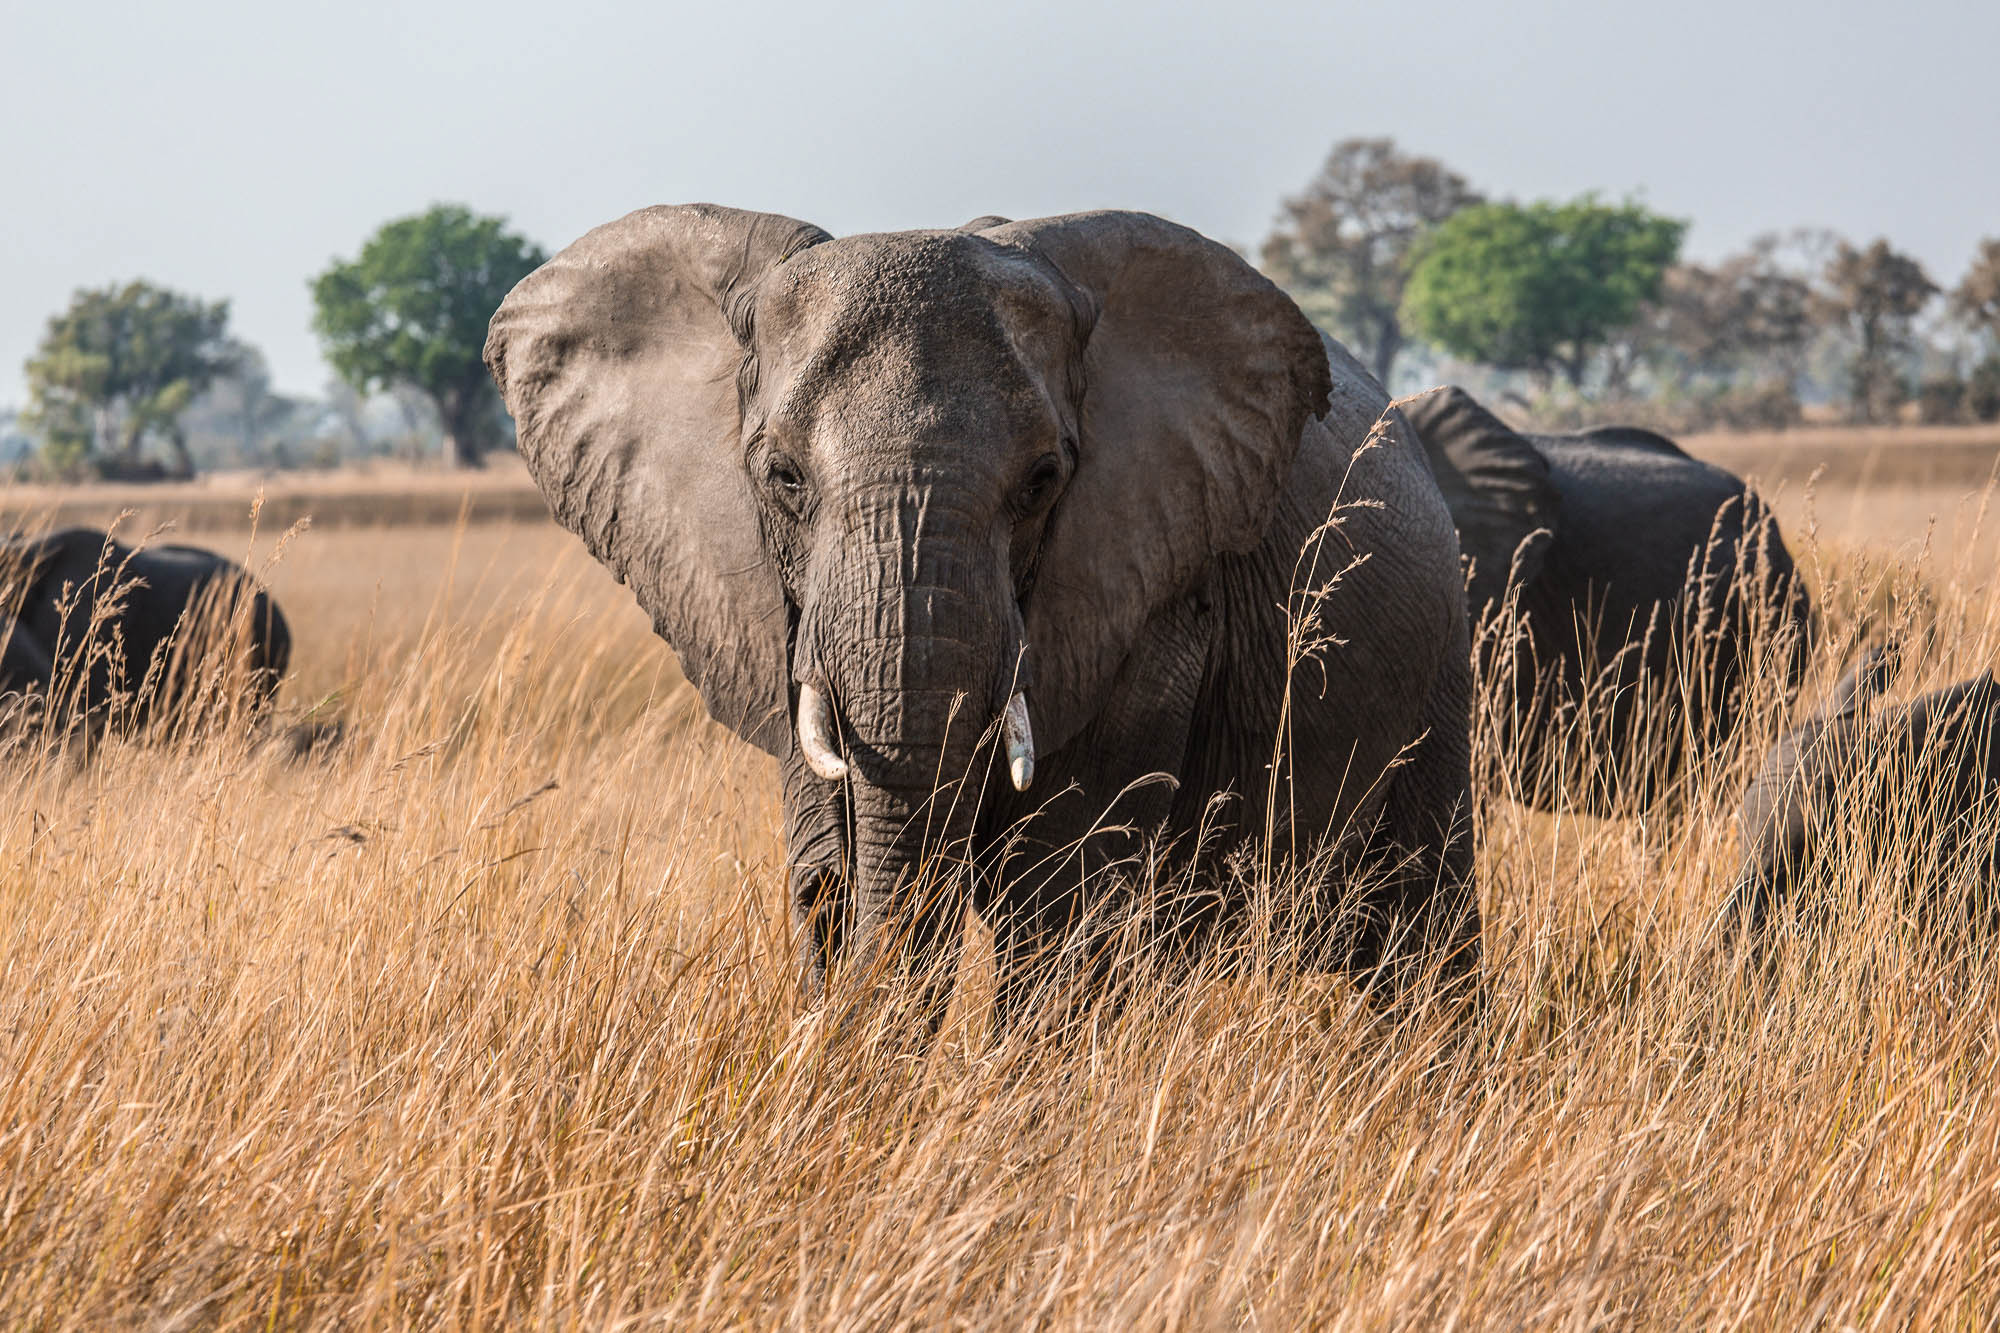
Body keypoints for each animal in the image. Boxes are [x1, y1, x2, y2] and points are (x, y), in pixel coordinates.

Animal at [486, 200, 1488, 1024]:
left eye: (1044, 480)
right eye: (782, 477)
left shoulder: (1151, 591)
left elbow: (1058, 897)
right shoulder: (778, 616)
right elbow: (826, 866)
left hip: (1442, 658)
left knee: (1423, 929)